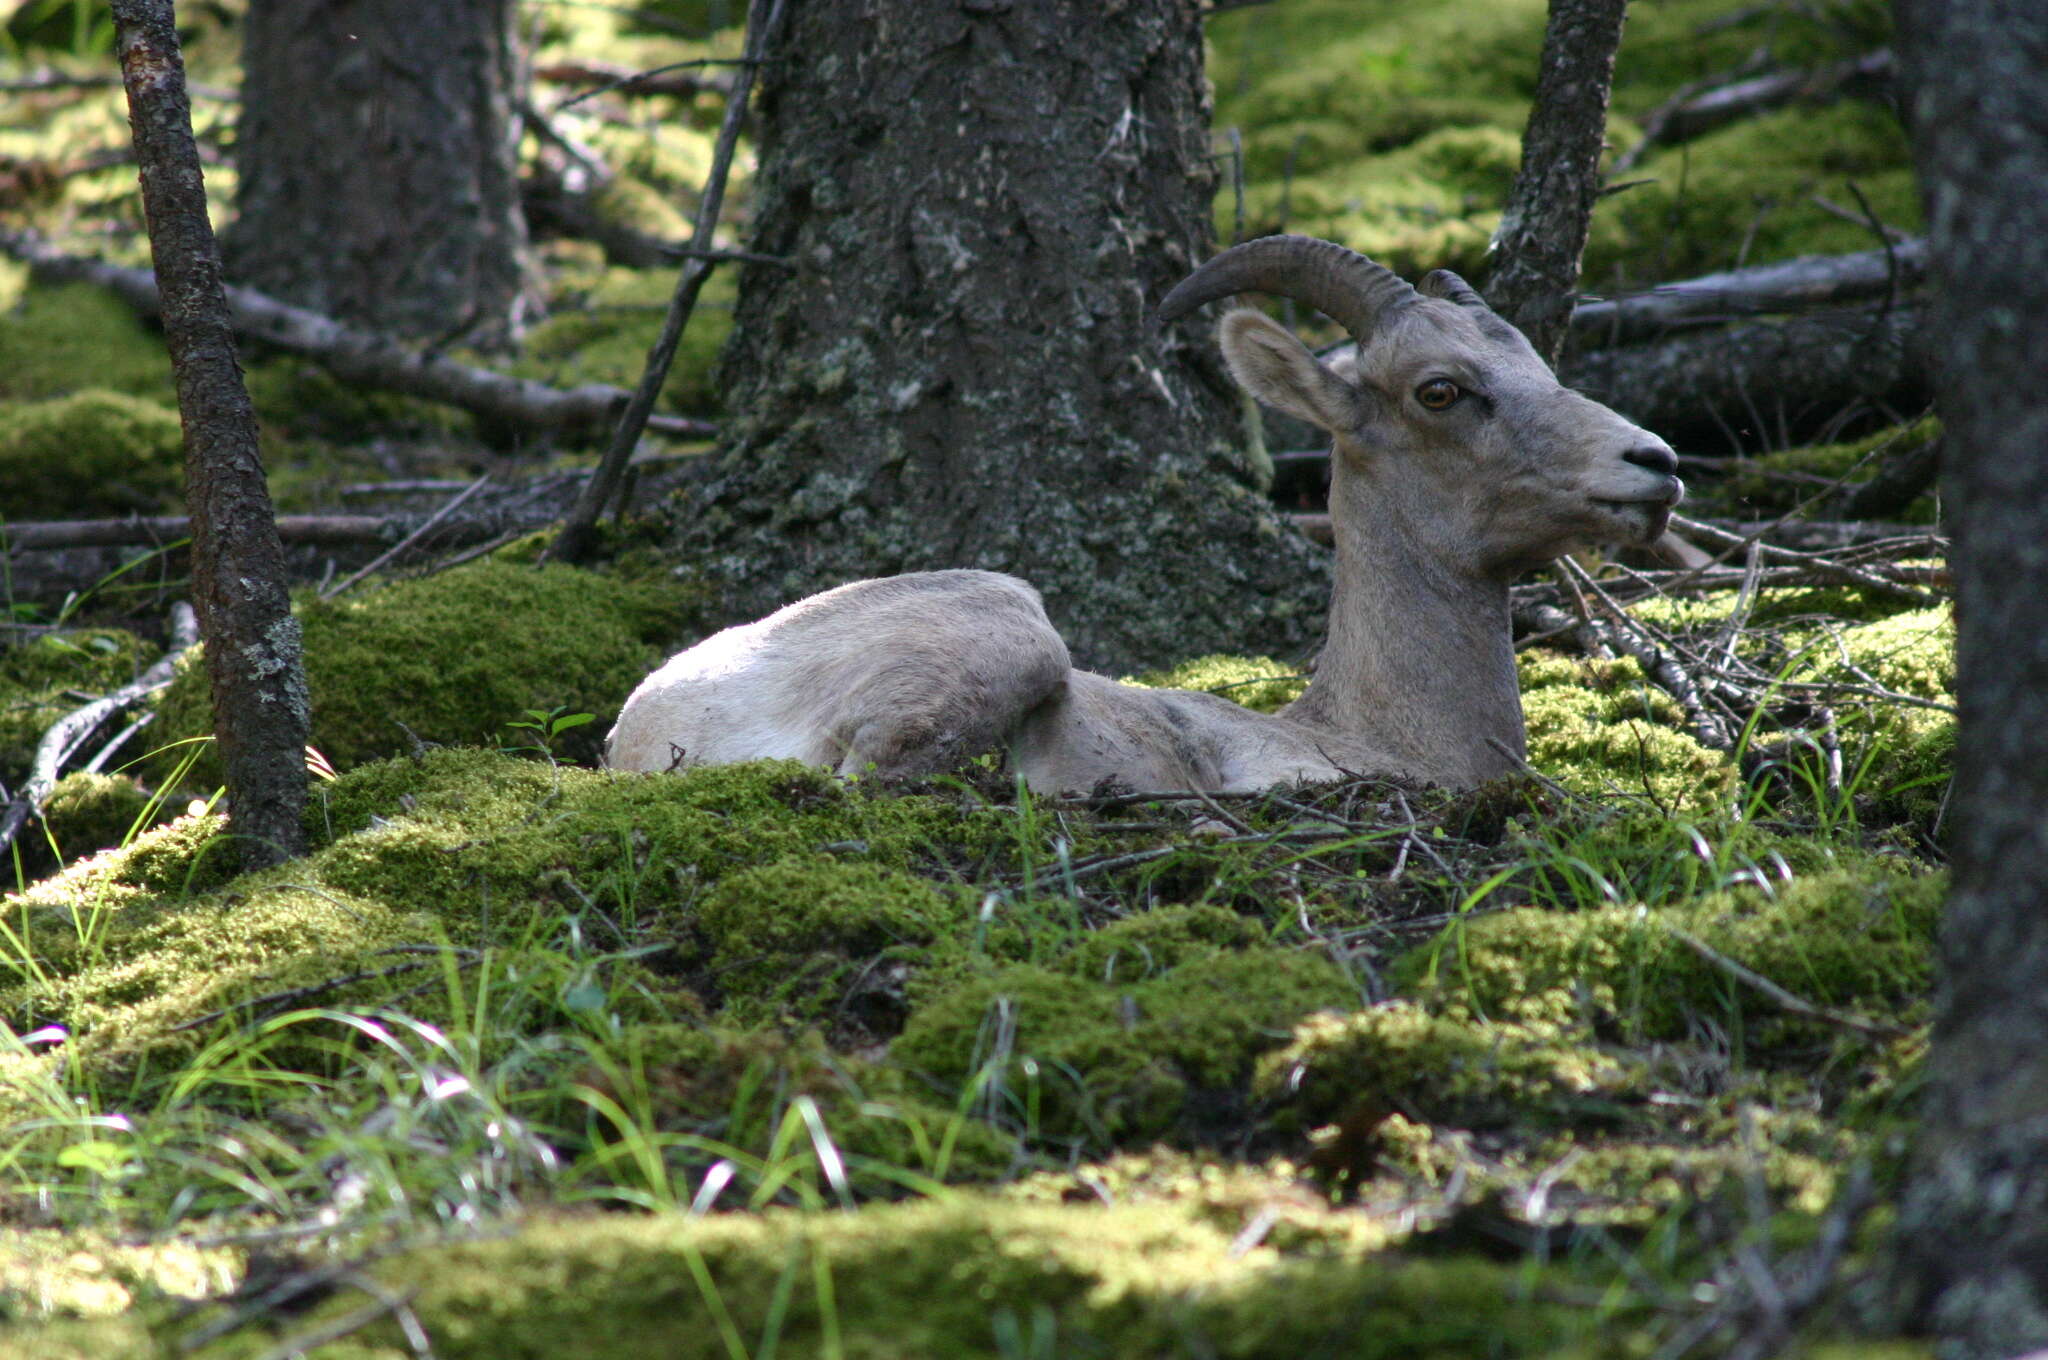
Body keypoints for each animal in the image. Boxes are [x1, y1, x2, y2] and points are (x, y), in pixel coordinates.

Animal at [602, 229, 1679, 790]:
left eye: (1541, 367)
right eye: (1441, 390)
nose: (1654, 464)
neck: (1378, 738)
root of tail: (645, 726)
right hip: (1012, 624)